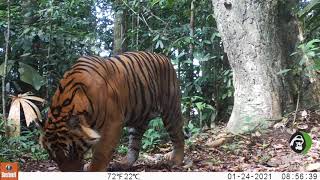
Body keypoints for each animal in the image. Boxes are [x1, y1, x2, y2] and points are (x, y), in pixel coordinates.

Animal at [39, 51, 185, 172]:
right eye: (53, 157)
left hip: (170, 109)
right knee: (134, 145)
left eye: (71, 152)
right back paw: (123, 164)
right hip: (138, 118)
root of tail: (164, 56)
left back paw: (176, 160)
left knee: (177, 135)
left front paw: (94, 170)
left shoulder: (112, 124)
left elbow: (101, 153)